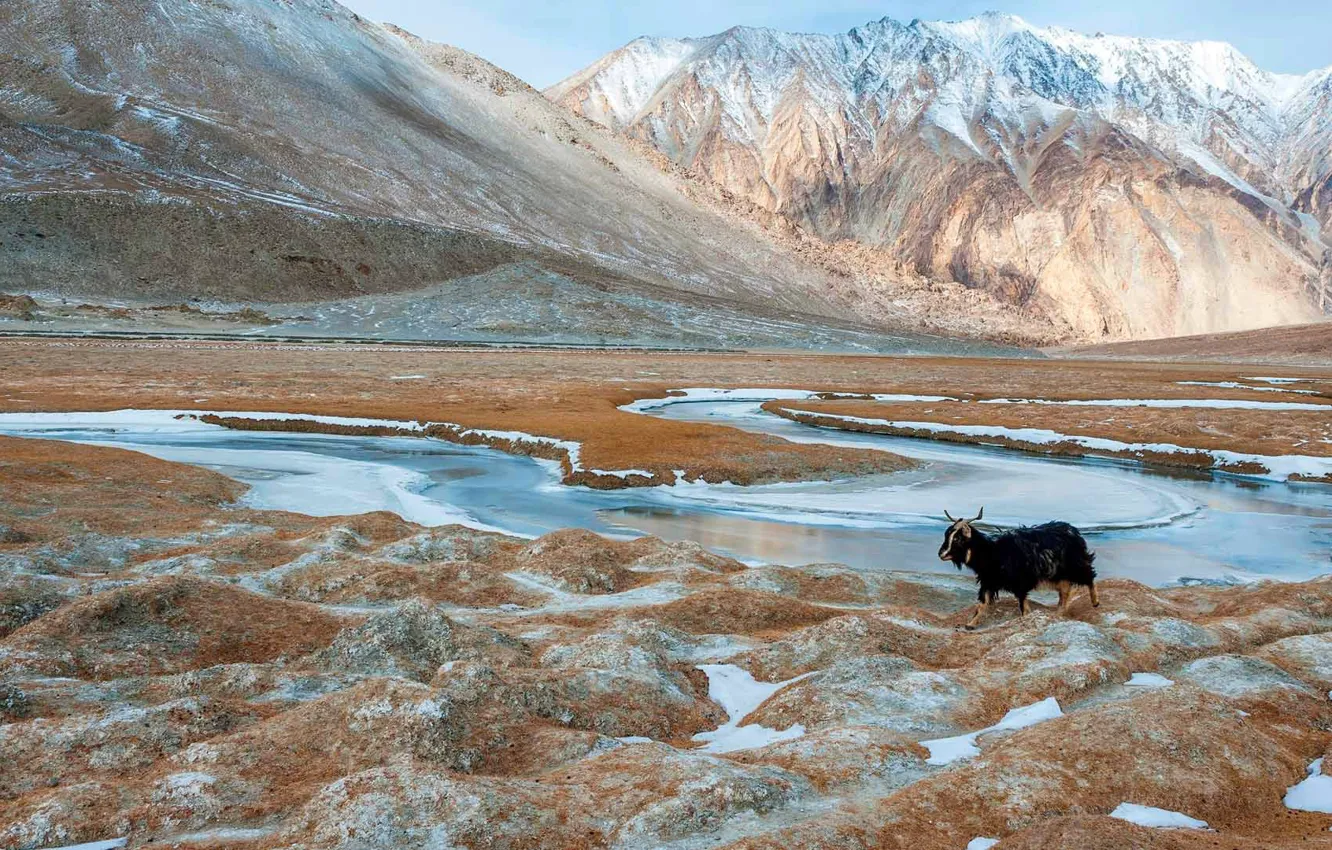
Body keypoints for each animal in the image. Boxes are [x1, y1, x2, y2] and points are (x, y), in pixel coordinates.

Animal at [938, 507, 1098, 629]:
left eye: (958, 539)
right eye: (947, 535)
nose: (941, 554)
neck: (991, 552)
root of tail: (1073, 531)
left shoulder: (1020, 583)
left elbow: (1023, 606)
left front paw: (1025, 619)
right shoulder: (988, 582)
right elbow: (982, 604)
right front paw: (970, 624)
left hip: (1075, 565)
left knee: (1089, 577)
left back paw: (1095, 602)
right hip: (1058, 574)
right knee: (1065, 591)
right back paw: (1059, 612)